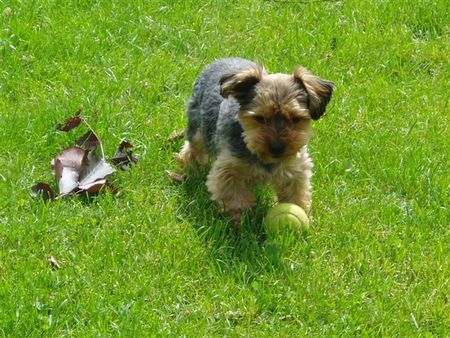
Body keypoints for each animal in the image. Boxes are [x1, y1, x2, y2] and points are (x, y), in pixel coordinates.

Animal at [178, 58, 332, 227]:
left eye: (295, 118)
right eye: (260, 118)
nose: (277, 148)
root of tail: (222, 59)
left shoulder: (295, 169)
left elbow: (296, 194)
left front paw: (304, 217)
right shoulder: (229, 169)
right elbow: (235, 198)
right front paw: (241, 223)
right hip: (199, 127)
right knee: (193, 147)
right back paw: (190, 167)